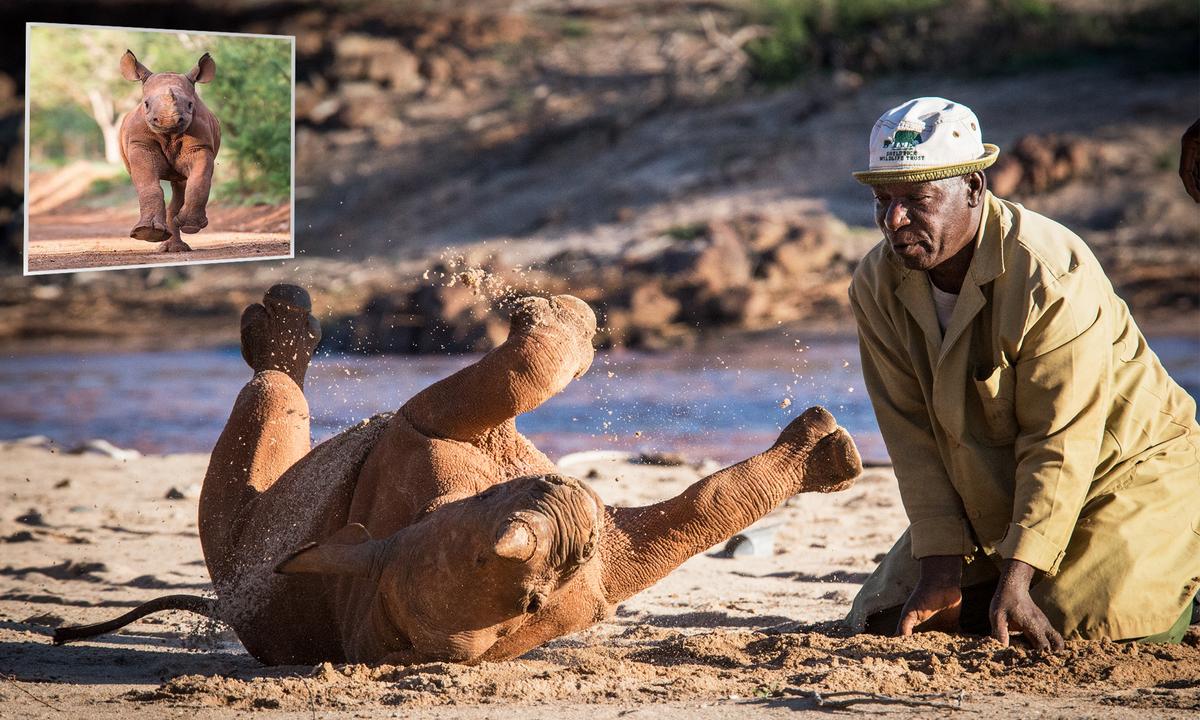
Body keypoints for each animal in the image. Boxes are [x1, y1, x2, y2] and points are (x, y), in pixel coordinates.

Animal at [55, 284, 861, 665]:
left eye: (534, 603)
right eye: (486, 557)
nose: (569, 523)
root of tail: (222, 606)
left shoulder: (599, 570)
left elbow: (701, 510)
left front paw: (834, 458)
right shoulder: (425, 437)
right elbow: (520, 375)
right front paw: (559, 314)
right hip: (242, 541)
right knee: (267, 417)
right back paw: (282, 325)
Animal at [118, 49, 221, 253]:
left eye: (190, 104)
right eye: (146, 104)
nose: (168, 121)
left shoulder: (201, 146)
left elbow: (199, 180)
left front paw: (191, 226)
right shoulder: (140, 143)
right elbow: (148, 184)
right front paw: (147, 233)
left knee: (181, 184)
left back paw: (177, 245)